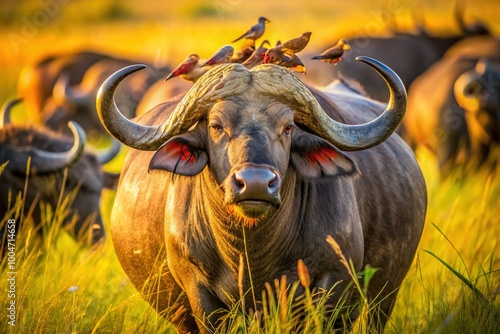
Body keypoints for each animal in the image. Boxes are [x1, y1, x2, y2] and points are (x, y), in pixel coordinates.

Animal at [96, 58, 426, 332]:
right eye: (216, 125)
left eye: (288, 127)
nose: (255, 183)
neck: (249, 253)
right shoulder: (198, 291)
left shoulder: (333, 282)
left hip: (383, 298)